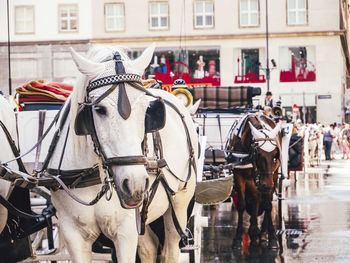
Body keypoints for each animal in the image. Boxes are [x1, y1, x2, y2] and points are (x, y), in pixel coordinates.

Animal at [47, 44, 198, 262]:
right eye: (99, 109)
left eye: (146, 109)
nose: (134, 184)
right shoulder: (73, 233)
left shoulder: (125, 232)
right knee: (149, 248)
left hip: (179, 204)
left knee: (170, 249)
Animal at [227, 113, 282, 250]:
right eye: (259, 155)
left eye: (275, 155)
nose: (266, 186)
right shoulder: (239, 176)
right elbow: (241, 205)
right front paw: (238, 238)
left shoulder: (271, 178)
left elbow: (267, 205)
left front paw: (271, 237)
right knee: (256, 197)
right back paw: (254, 230)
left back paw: (262, 233)